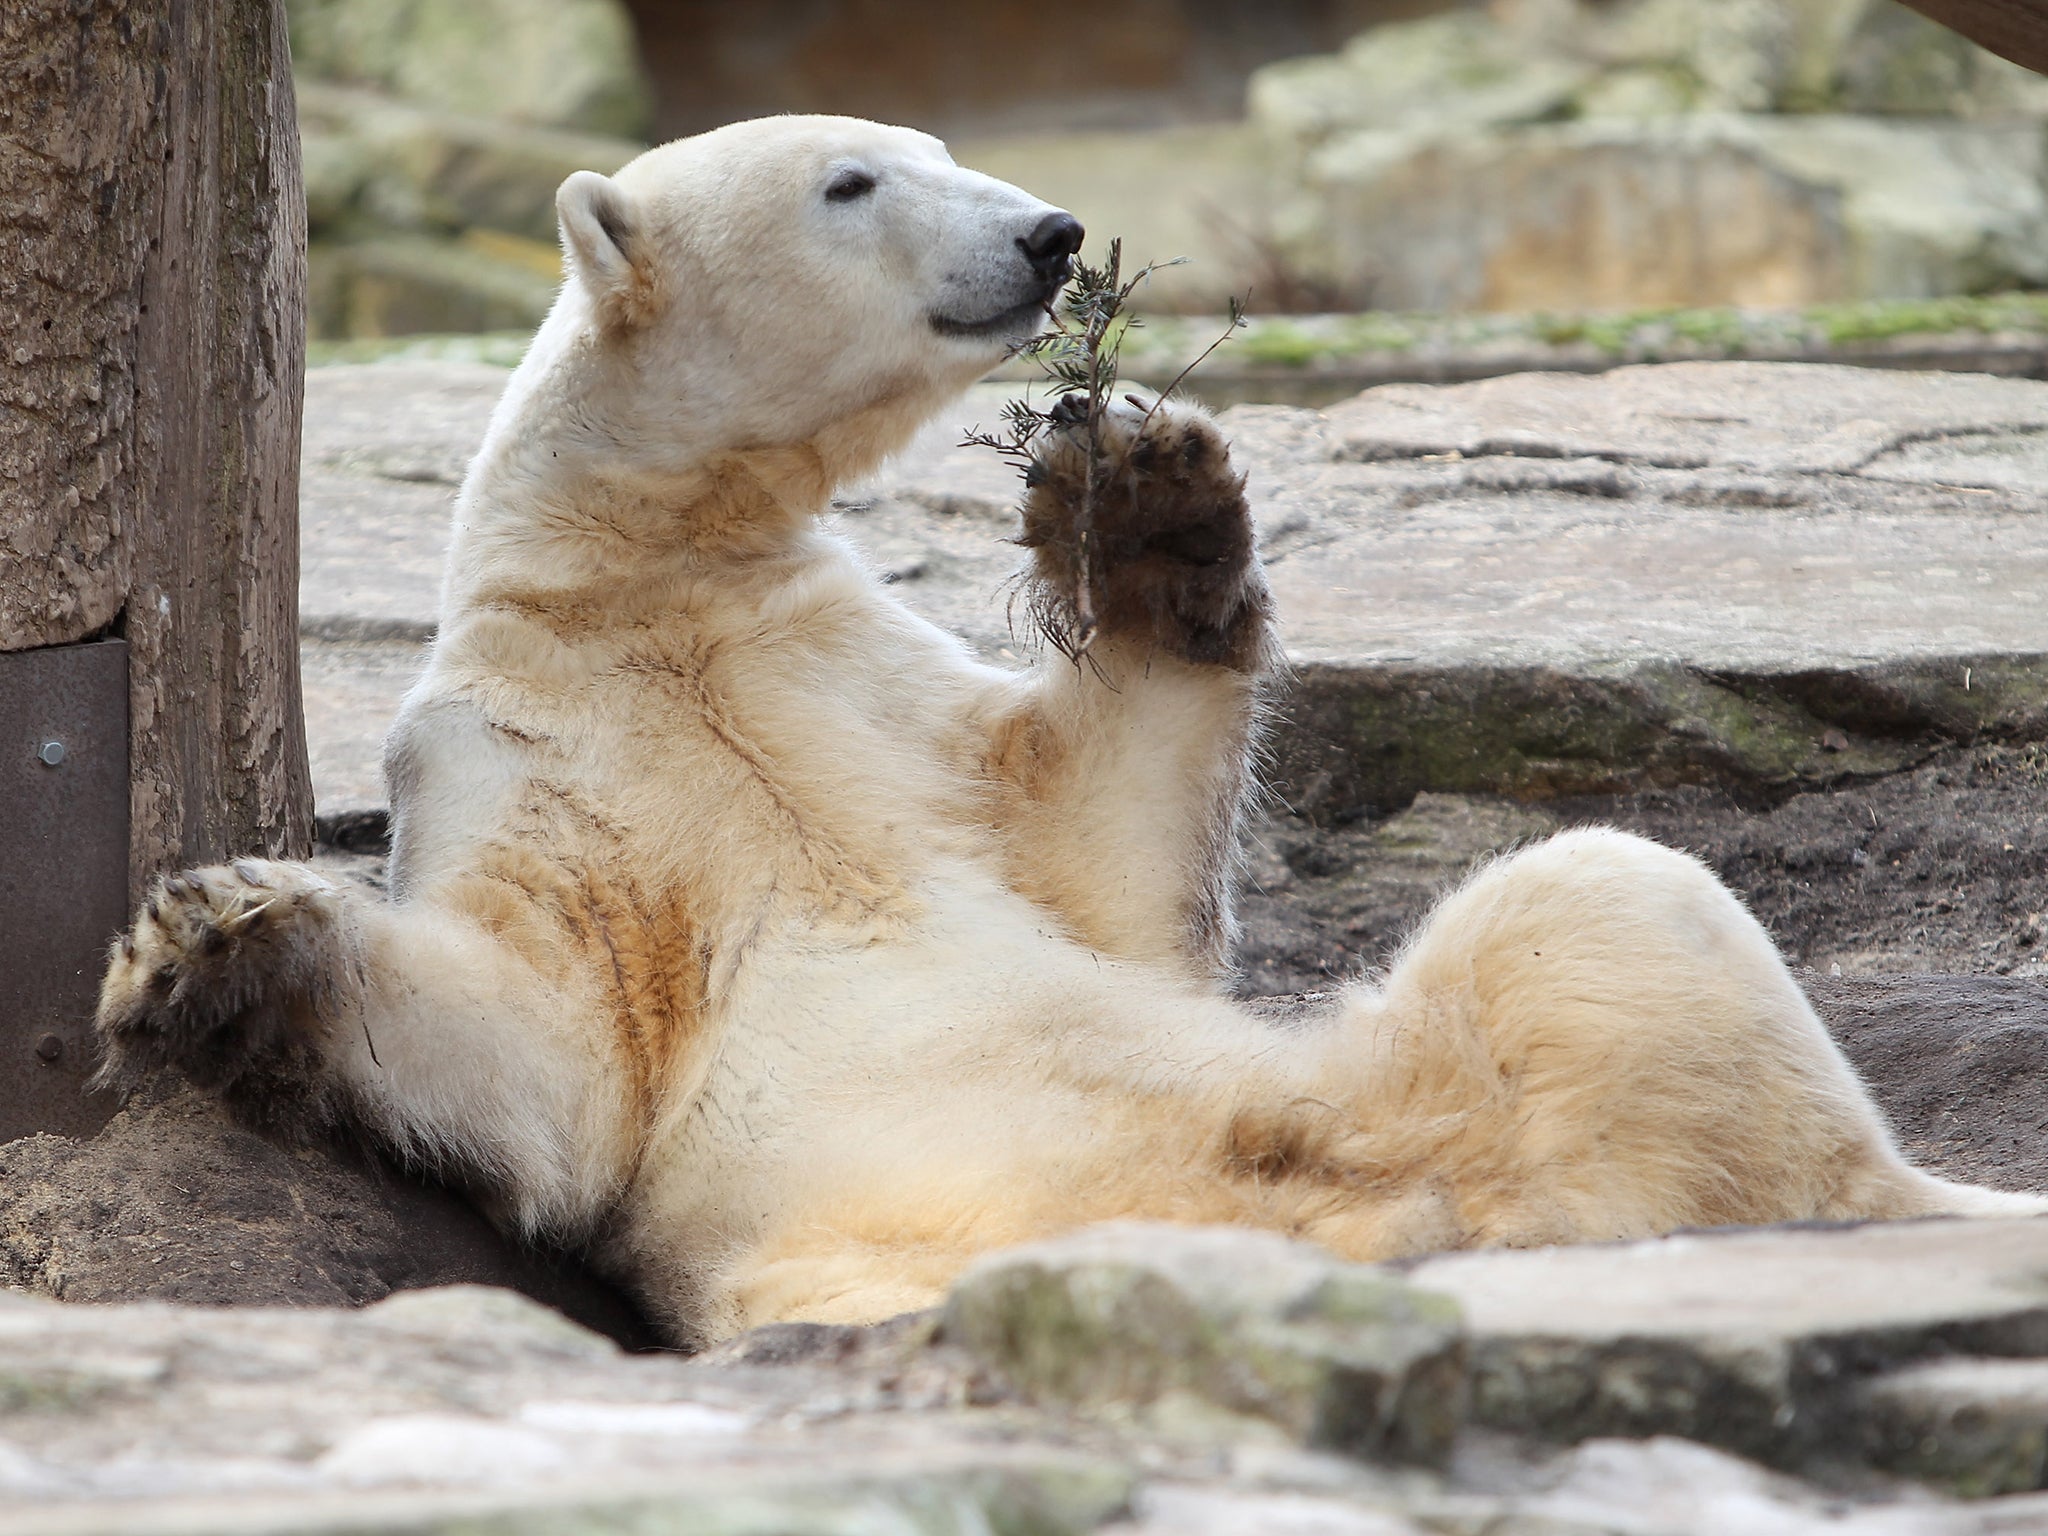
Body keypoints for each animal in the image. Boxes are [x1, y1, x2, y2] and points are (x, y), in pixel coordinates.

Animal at [99, 117, 2048, 1343]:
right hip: (869, 1263)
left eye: (931, 144)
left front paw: (1154, 500)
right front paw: (217, 939)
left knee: (1609, 906)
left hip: (1402, 1062)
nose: (1044, 234)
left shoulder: (856, 684)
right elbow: (557, 1069)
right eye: (853, 176)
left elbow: (1099, 855)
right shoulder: (520, 752)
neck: (644, 589)